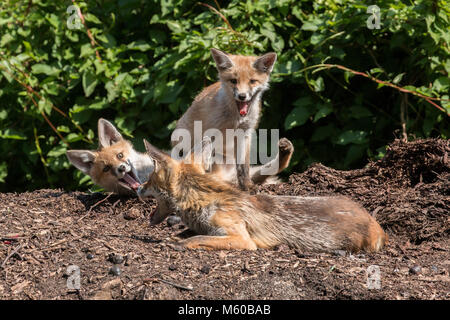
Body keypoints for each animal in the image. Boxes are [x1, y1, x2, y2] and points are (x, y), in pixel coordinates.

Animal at [138, 139, 386, 254]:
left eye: (149, 179)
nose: (139, 187)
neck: (204, 200)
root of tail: (375, 222)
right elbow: (191, 233)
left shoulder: (242, 238)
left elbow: (196, 239)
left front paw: (179, 243)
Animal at [174, 49, 294, 191]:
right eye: (233, 81)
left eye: (252, 81)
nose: (242, 96)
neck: (235, 119)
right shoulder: (209, 132)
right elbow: (203, 153)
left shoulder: (245, 134)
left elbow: (243, 167)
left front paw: (247, 185)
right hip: (181, 138)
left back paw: (285, 150)